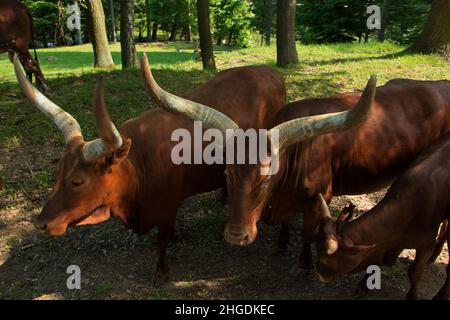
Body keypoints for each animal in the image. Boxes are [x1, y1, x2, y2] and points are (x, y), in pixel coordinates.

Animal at [15, 53, 286, 286]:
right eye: (58, 174)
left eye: (77, 181)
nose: (40, 224)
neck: (138, 164)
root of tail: (271, 72)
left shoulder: (167, 208)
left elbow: (161, 241)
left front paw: (162, 273)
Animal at [151, 76, 450, 268]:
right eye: (227, 175)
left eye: (265, 180)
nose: (236, 236)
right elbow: (286, 223)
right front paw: (282, 242)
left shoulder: (319, 199)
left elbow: (307, 232)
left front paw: (305, 262)